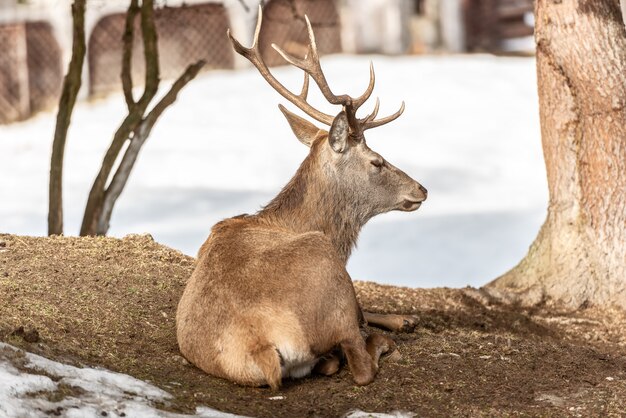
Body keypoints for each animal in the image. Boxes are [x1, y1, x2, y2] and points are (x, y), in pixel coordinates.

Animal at [178, 8, 426, 390]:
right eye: (377, 161)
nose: (421, 189)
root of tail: (262, 347)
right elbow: (361, 314)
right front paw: (403, 321)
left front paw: (406, 318)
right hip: (324, 265)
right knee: (360, 361)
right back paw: (379, 344)